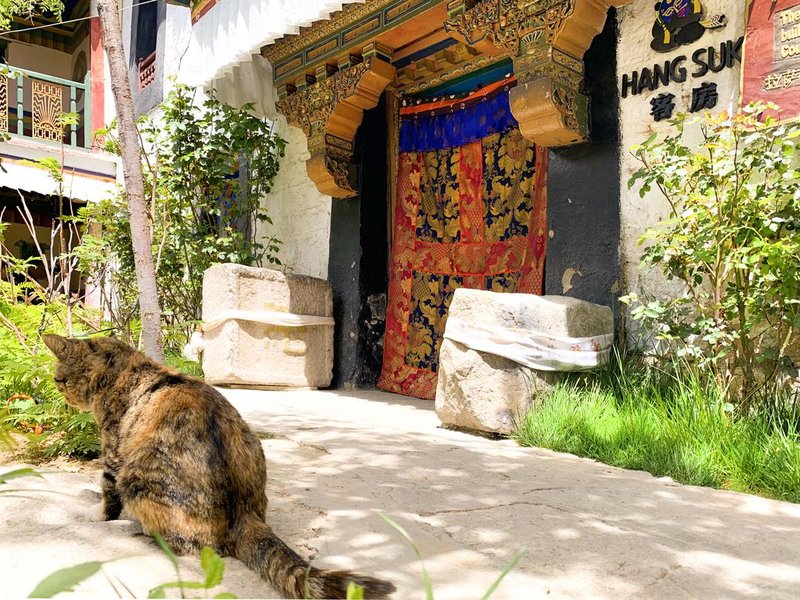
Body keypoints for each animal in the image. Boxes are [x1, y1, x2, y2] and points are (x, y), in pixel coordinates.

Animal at [43, 336, 394, 596]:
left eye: (60, 379)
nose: (58, 390)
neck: (128, 367)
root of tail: (245, 513)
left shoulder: (114, 455)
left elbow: (107, 495)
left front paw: (100, 516)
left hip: (138, 479)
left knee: (186, 544)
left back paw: (139, 530)